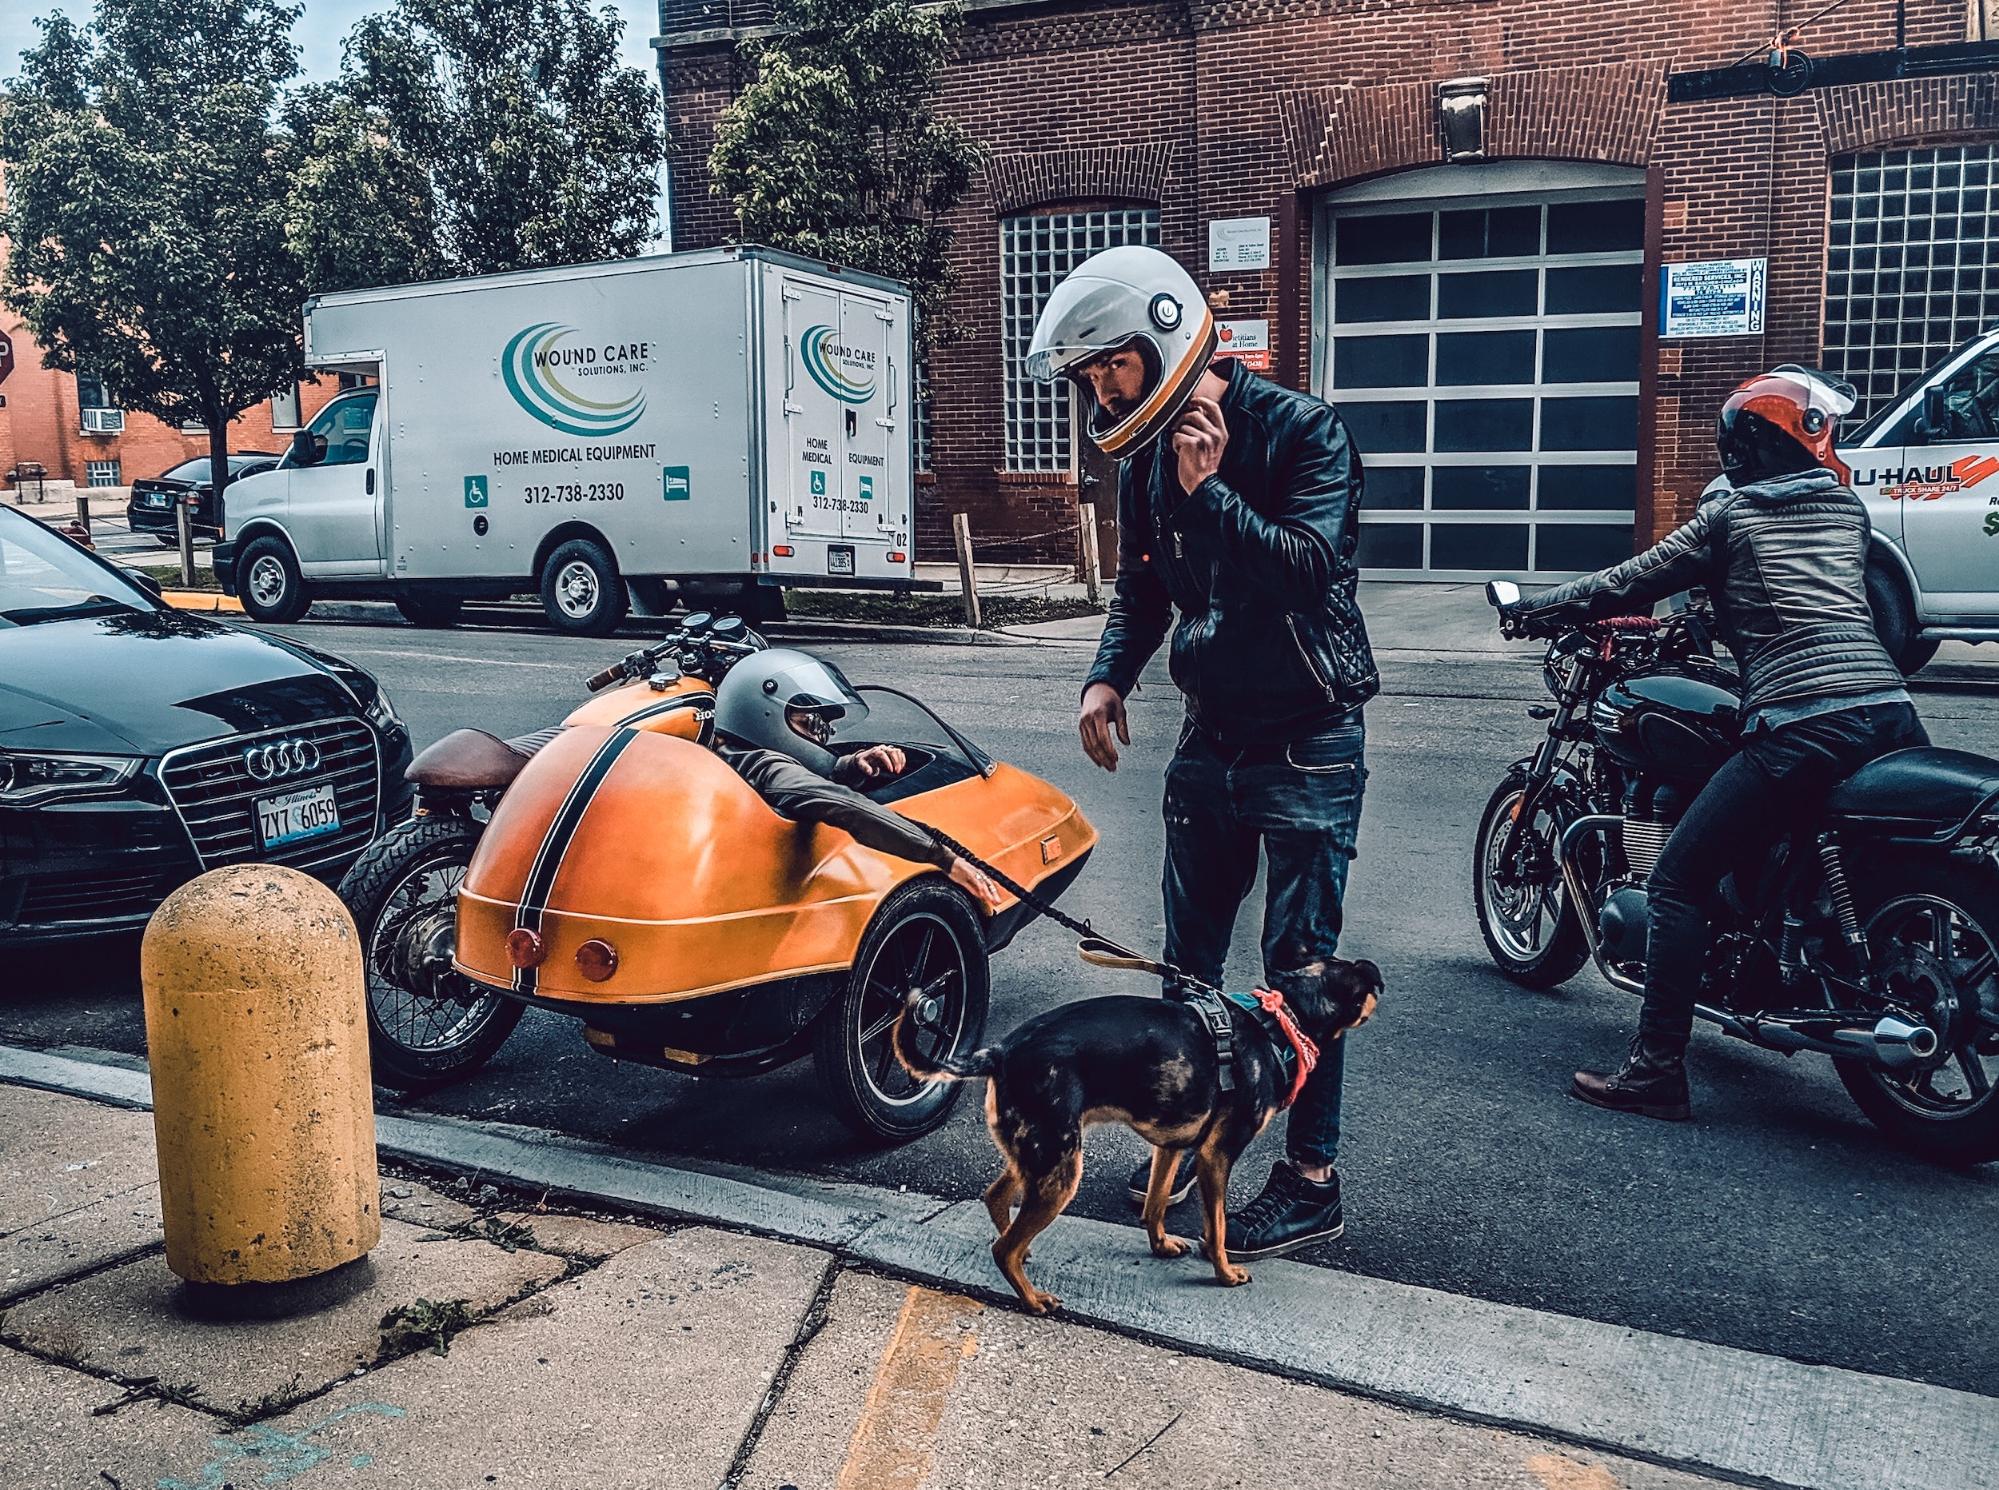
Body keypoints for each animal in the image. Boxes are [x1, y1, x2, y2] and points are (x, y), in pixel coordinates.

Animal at [899, 960, 1383, 1304]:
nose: (1383, 989)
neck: (1281, 1022)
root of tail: (1000, 1051)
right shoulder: (1216, 1157)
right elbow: (1216, 1229)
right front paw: (1225, 1274)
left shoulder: (1171, 1147)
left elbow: (1154, 1205)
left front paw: (1161, 1245)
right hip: (1059, 1167)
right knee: (1004, 1249)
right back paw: (1033, 1299)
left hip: (1036, 1153)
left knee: (997, 1200)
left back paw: (1021, 1250)